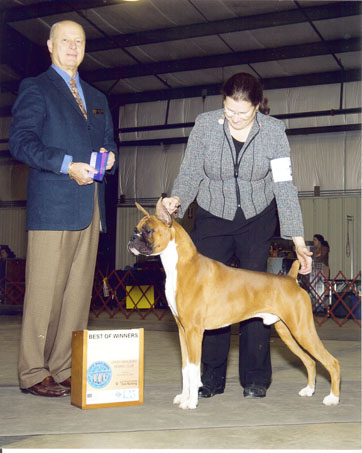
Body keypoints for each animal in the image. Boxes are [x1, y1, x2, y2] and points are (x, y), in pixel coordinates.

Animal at [129, 198, 340, 410]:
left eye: (148, 230)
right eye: (136, 228)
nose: (132, 238)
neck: (181, 265)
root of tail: (290, 278)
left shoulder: (194, 331)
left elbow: (194, 370)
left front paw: (191, 402)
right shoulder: (182, 331)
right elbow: (185, 369)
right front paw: (184, 396)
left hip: (302, 330)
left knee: (332, 362)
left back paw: (333, 398)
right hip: (286, 332)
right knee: (310, 361)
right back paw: (309, 390)